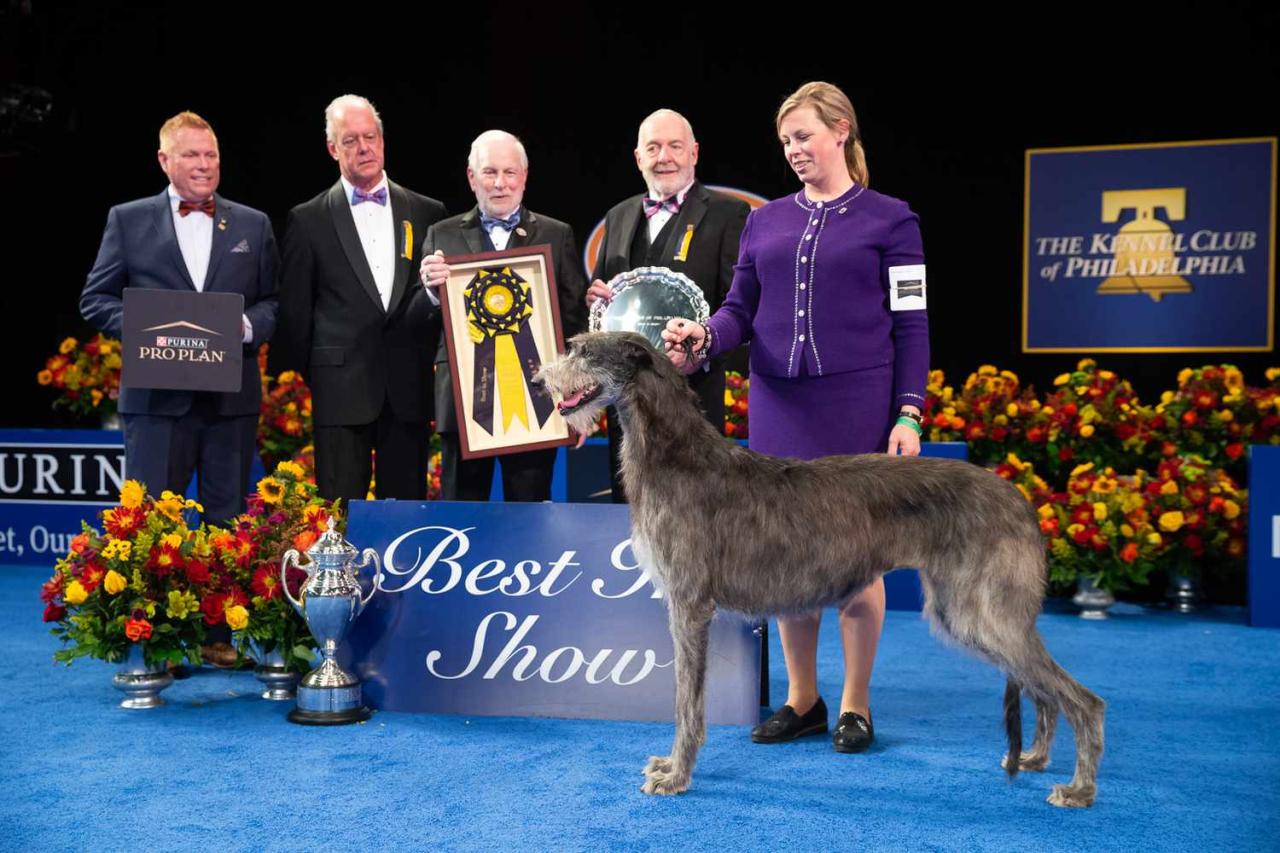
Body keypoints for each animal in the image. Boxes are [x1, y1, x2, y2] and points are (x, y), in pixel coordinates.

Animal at [535, 327, 1105, 799]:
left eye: (583, 351)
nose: (540, 381)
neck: (678, 456)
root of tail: (1020, 499)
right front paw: (673, 768)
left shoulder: (690, 605)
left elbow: (686, 703)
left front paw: (677, 774)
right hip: (978, 613)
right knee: (1045, 690)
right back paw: (1036, 758)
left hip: (979, 610)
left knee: (1083, 699)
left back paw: (1079, 788)